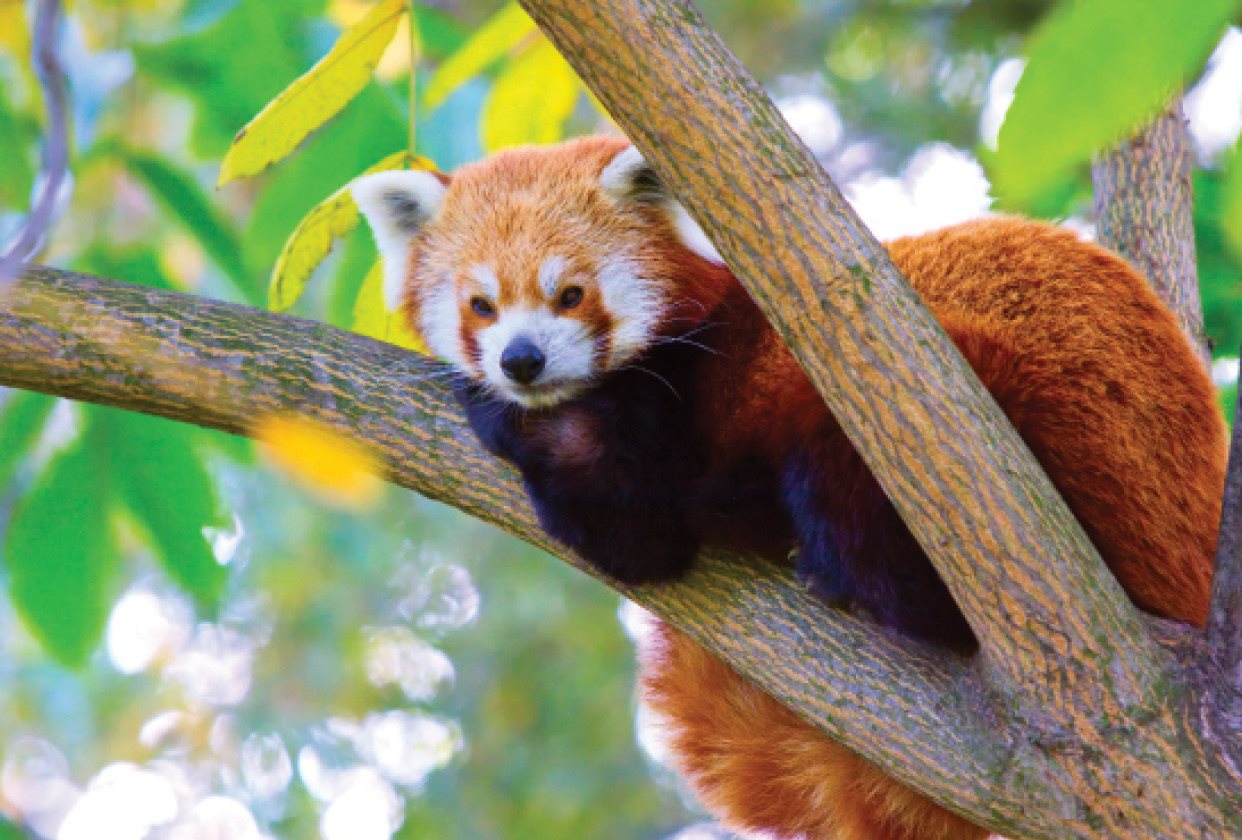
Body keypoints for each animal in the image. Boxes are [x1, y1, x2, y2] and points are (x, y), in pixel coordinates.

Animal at [355, 136, 1227, 840]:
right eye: (481, 306)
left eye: (569, 294)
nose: (521, 361)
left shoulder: (686, 404)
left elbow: (636, 527)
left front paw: (498, 415)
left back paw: (851, 579)